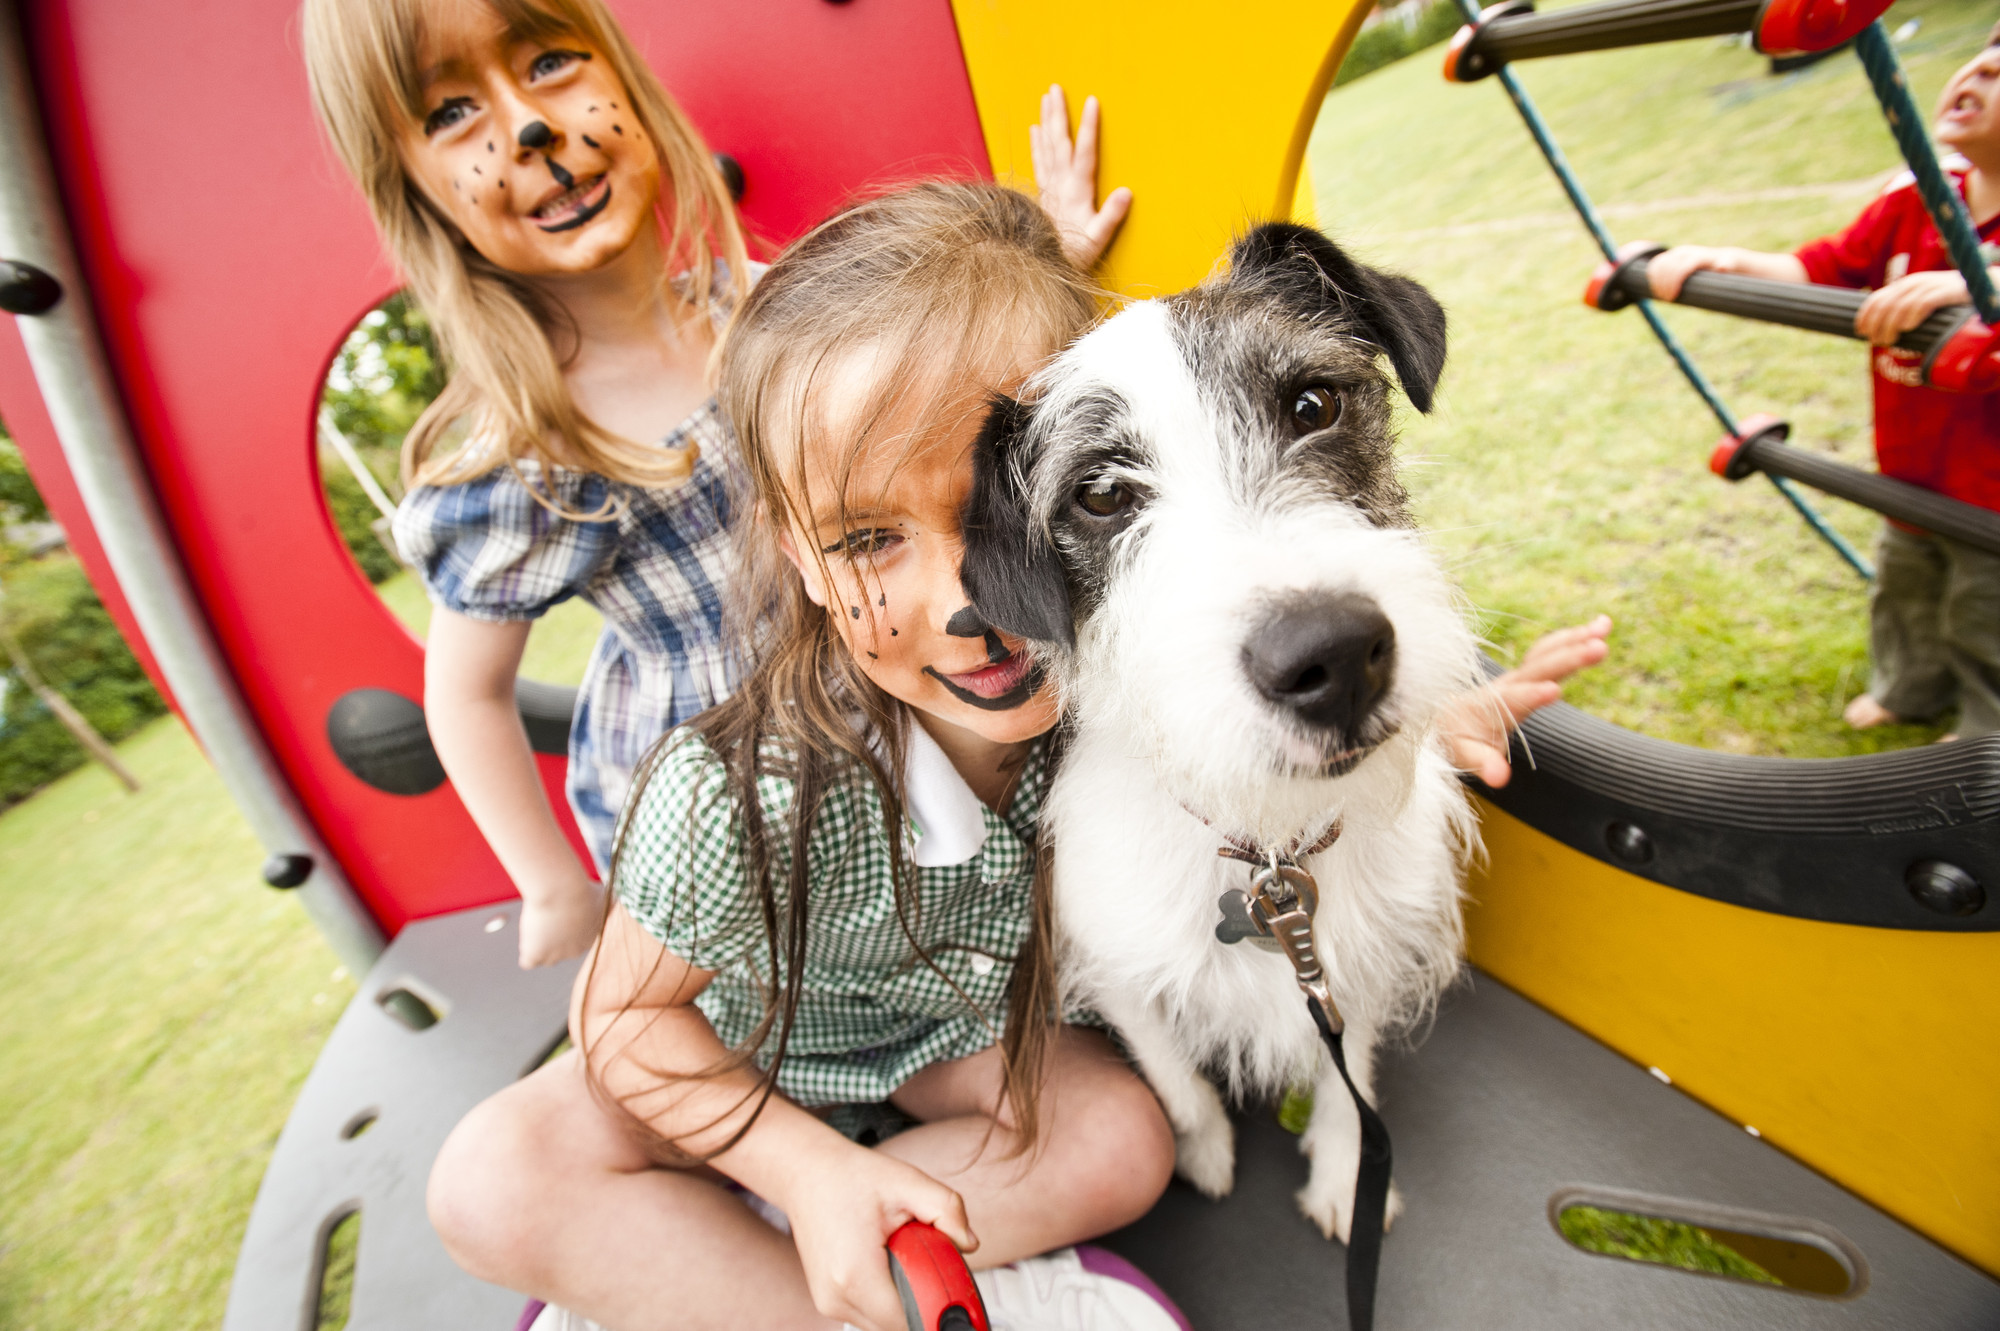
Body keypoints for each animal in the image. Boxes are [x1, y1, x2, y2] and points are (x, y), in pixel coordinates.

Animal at [968, 219, 1488, 1231]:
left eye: (1314, 402)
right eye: (1102, 495)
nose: (1331, 656)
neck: (1272, 850)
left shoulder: (1362, 960)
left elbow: (1349, 1077)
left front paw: (1346, 1173)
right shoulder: (1116, 965)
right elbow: (1173, 1073)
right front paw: (1203, 1152)